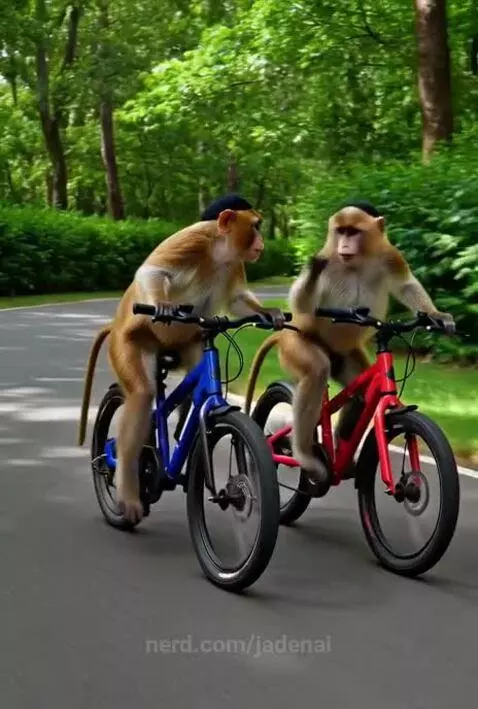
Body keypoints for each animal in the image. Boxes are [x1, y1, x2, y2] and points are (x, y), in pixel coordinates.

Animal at [77, 194, 285, 524]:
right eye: (256, 225)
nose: (262, 241)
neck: (219, 249)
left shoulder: (234, 262)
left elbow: (236, 298)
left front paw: (269, 313)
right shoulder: (193, 239)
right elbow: (152, 270)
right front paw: (162, 305)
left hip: (187, 340)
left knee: (193, 361)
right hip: (129, 342)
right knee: (141, 395)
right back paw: (127, 488)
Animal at [243, 200, 455, 486]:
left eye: (353, 231)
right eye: (341, 231)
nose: (344, 244)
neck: (357, 261)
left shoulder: (388, 254)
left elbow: (406, 284)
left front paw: (436, 315)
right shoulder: (328, 255)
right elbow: (303, 304)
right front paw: (313, 268)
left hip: (345, 354)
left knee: (359, 393)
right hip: (297, 344)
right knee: (316, 372)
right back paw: (304, 455)